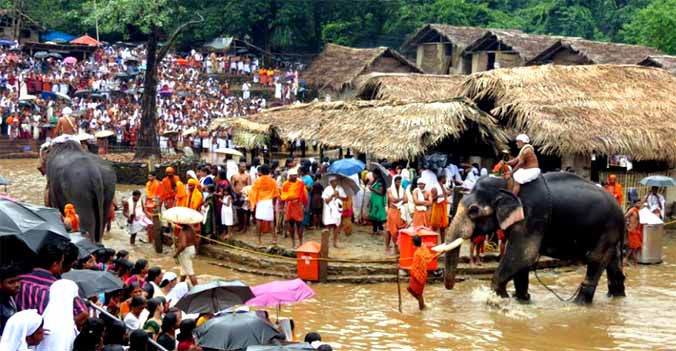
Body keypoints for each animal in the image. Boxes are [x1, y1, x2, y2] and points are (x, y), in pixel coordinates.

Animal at [444, 174, 628, 306]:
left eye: (473, 210)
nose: (450, 288)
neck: (508, 183)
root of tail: (622, 212)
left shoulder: (532, 215)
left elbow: (523, 255)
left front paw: (499, 300)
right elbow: (522, 262)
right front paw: (522, 300)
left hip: (608, 229)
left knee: (596, 260)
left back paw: (579, 305)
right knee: (613, 264)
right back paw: (616, 297)